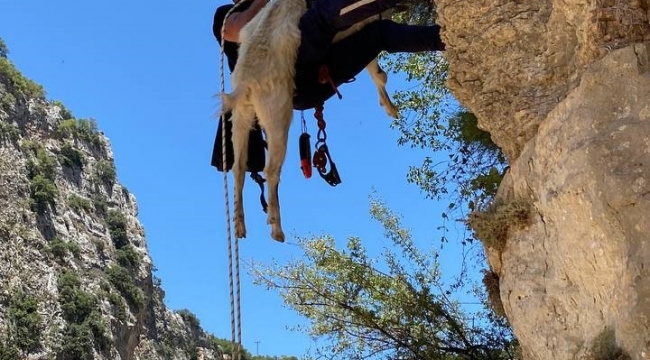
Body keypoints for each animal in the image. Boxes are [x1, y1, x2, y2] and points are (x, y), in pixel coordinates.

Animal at [221, 0, 394, 243]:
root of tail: (246, 79)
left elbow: (376, 71)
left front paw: (389, 106)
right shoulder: (365, 24)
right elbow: (377, 72)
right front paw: (390, 107)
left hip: (241, 118)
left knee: (238, 168)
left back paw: (239, 225)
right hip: (277, 115)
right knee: (270, 169)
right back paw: (276, 228)